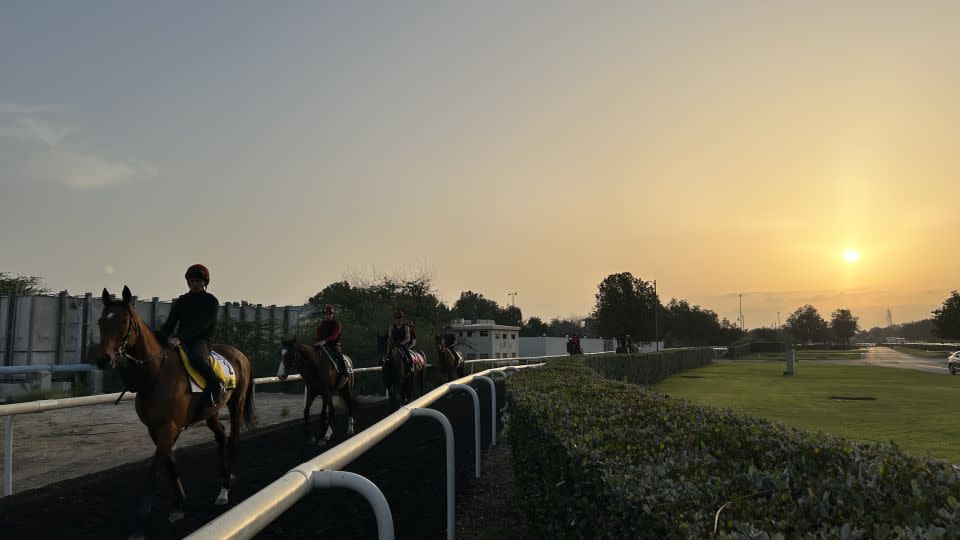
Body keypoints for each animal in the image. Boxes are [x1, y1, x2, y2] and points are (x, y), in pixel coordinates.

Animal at [95, 286, 255, 528]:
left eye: (123, 321)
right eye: (101, 321)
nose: (103, 359)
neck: (156, 374)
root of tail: (240, 355)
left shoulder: (169, 427)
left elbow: (154, 468)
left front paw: (142, 517)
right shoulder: (154, 428)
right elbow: (170, 464)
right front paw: (179, 506)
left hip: (236, 405)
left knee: (233, 440)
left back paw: (224, 490)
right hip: (211, 411)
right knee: (220, 436)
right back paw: (222, 475)